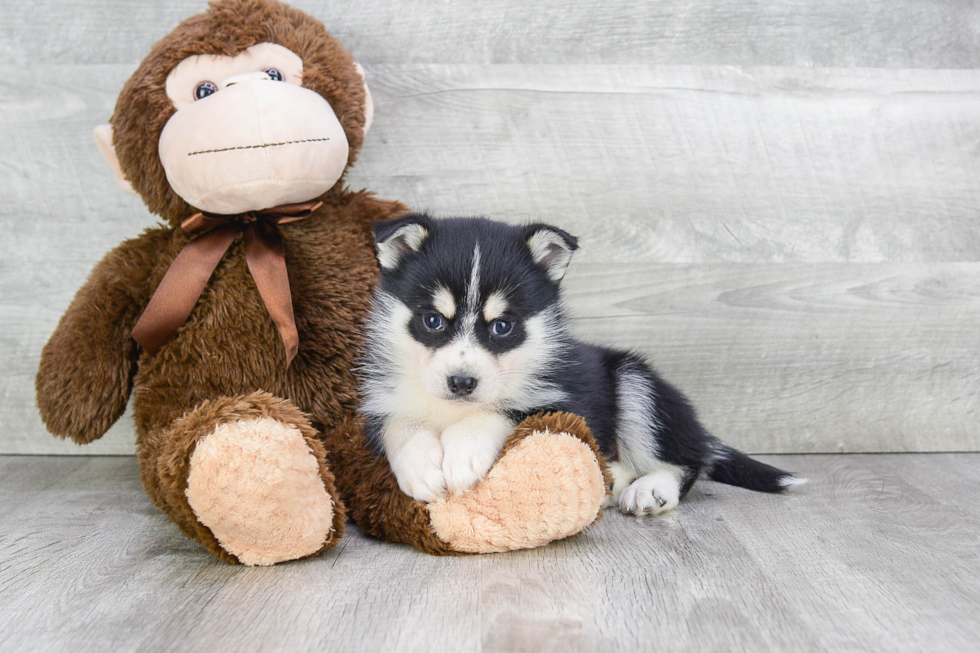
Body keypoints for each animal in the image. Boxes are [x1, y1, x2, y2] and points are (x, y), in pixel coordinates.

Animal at [360, 216, 804, 512]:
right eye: (432, 321)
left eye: (503, 327)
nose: (462, 382)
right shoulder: (378, 403)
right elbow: (401, 424)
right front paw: (420, 466)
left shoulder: (566, 403)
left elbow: (503, 411)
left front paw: (463, 451)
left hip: (636, 383)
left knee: (686, 462)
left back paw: (647, 488)